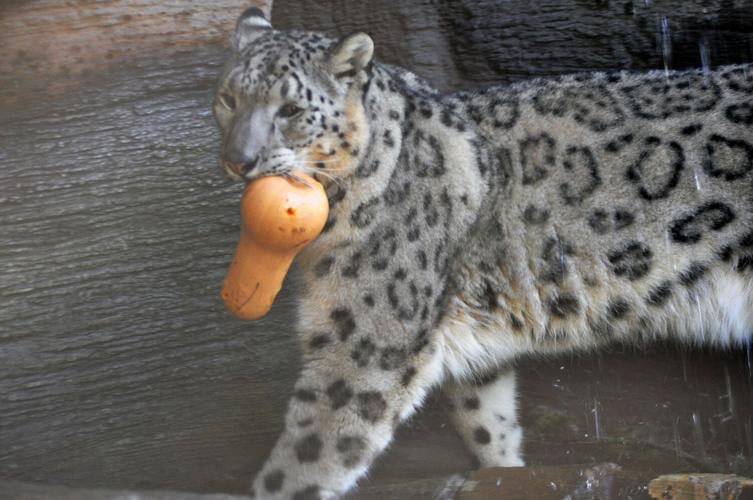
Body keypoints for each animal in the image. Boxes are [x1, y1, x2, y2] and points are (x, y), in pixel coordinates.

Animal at [211, 7, 753, 500]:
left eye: (290, 110)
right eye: (228, 98)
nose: (239, 160)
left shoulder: (366, 343)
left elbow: (312, 453)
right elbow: (488, 421)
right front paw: (508, 471)